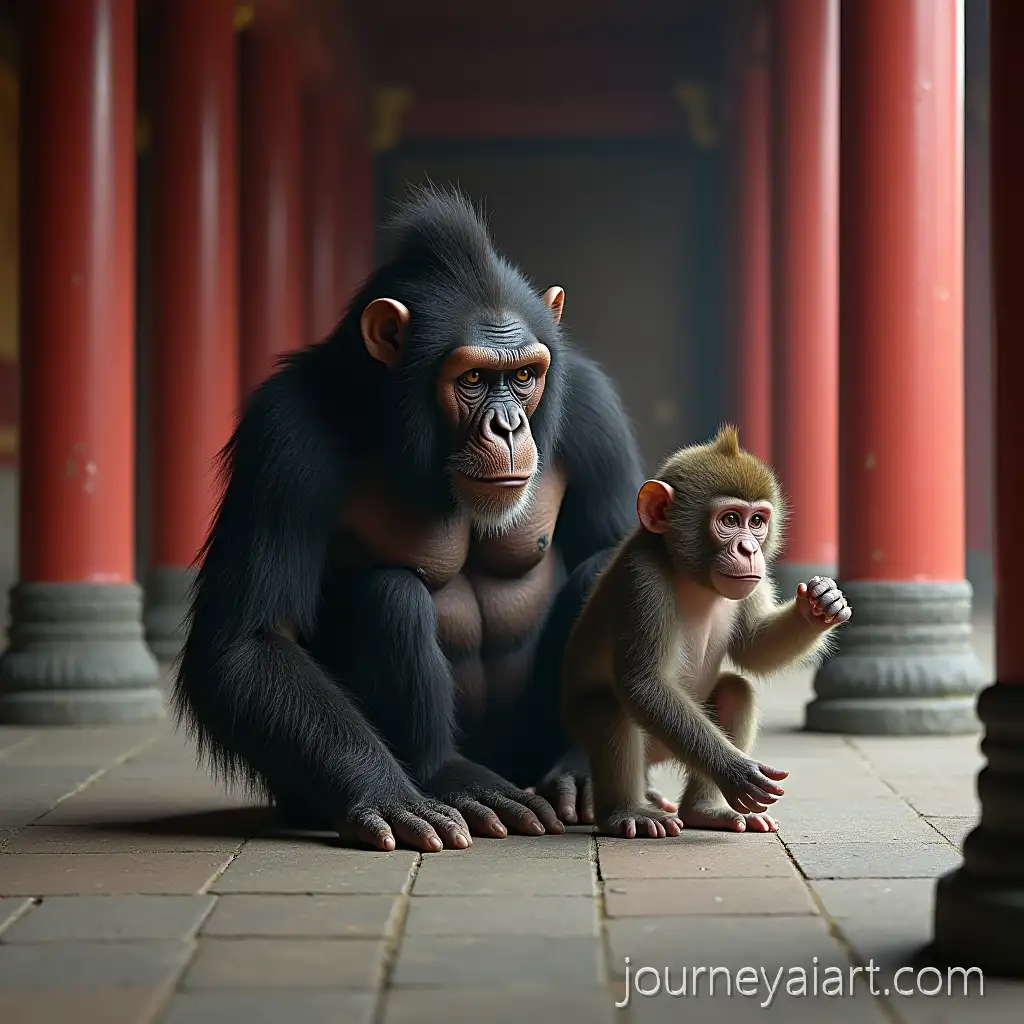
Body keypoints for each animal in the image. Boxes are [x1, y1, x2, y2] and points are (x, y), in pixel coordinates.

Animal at [560, 424, 852, 838]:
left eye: (757, 522)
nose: (749, 550)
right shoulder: (643, 580)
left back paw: (705, 810)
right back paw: (626, 812)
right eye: (729, 519)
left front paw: (821, 605)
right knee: (609, 708)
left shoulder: (753, 580)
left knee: (736, 690)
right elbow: (644, 683)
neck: (691, 576)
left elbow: (752, 648)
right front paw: (736, 772)